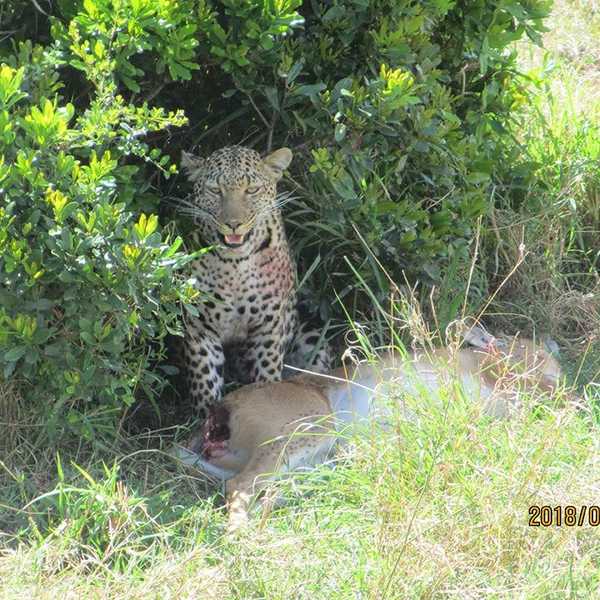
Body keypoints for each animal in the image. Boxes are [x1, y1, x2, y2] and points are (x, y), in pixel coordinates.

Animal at [178, 145, 328, 418]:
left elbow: (267, 373)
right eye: (215, 190)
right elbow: (205, 379)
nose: (233, 224)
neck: (235, 266)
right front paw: (205, 416)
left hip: (311, 336)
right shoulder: (199, 327)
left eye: (252, 190)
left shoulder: (269, 326)